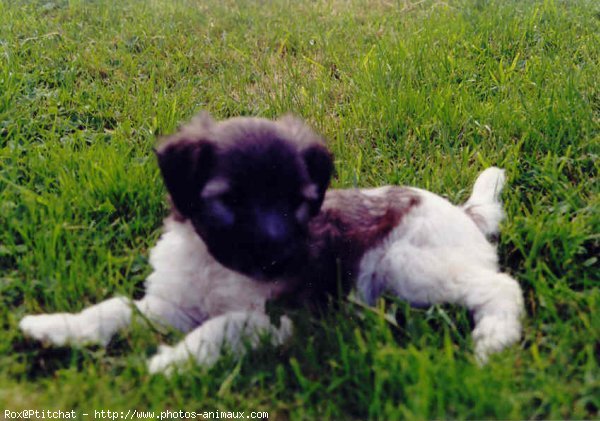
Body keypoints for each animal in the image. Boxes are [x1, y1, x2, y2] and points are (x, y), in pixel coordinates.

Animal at [19, 111, 524, 370]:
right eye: (229, 200)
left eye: (298, 201)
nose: (280, 257)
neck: (215, 266)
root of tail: (463, 214)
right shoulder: (171, 306)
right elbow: (116, 308)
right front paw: (56, 327)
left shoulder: (279, 318)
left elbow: (223, 326)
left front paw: (174, 361)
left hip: (407, 263)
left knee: (502, 287)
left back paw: (493, 341)